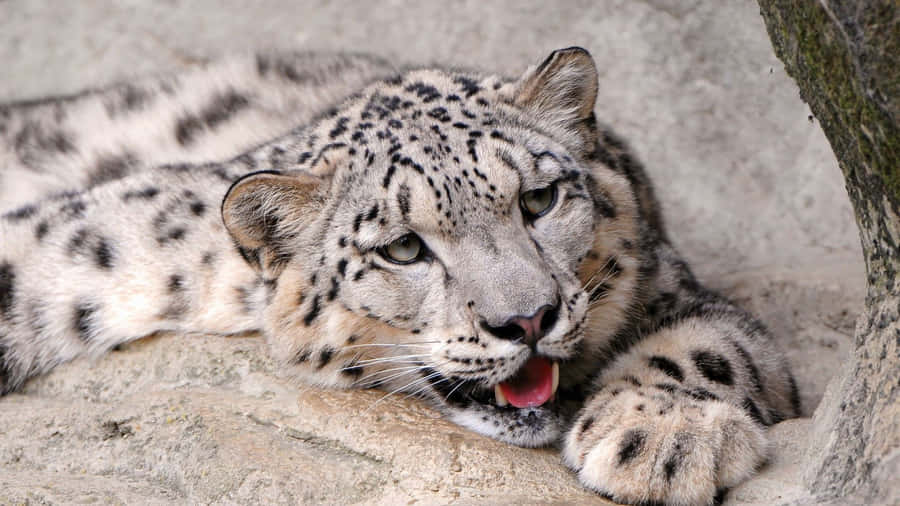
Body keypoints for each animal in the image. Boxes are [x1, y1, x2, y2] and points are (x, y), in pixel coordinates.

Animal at [0, 47, 801, 505]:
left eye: (539, 200)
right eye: (405, 249)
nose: (527, 320)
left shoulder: (674, 285)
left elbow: (714, 343)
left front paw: (662, 433)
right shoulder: (95, 242)